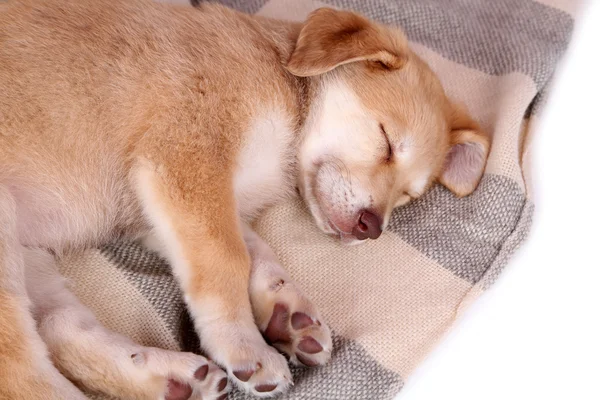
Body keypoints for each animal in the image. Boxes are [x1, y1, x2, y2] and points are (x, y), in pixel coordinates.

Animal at [0, 0, 488, 398]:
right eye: (386, 141)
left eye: (406, 196)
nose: (372, 228)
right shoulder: (187, 162)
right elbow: (226, 262)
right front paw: (242, 343)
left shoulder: (171, 213)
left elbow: (256, 253)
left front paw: (286, 310)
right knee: (24, 375)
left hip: (31, 259)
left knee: (61, 331)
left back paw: (167, 378)